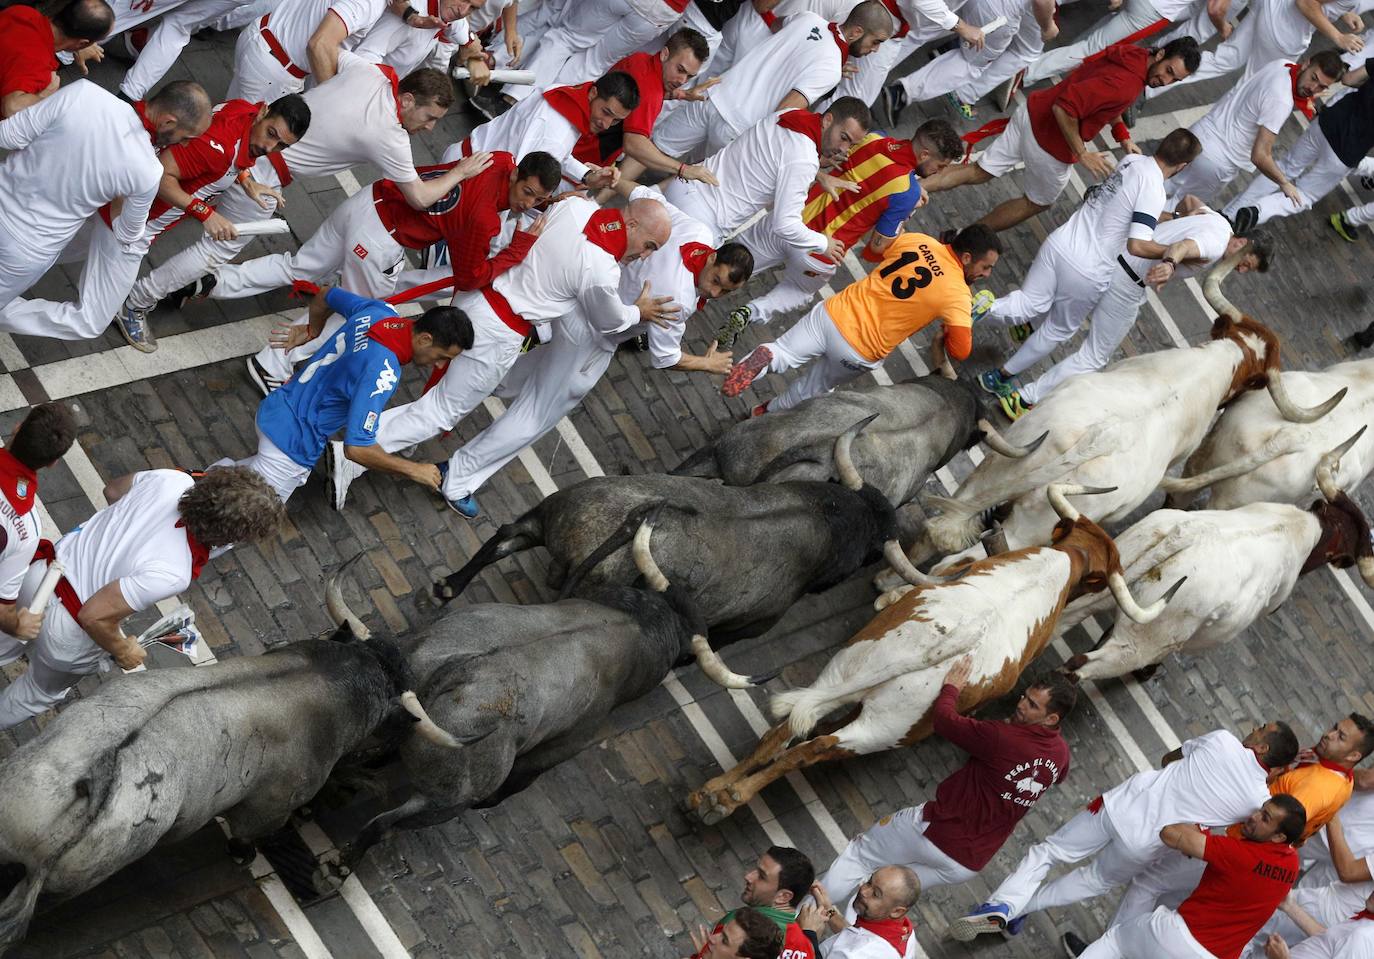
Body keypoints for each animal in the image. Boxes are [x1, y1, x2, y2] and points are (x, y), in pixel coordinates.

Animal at [681, 486, 1176, 824]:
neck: (1061, 563)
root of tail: (932, 646)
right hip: (887, 730)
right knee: (811, 748)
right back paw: (729, 800)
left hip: (847, 670)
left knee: (787, 731)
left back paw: (713, 792)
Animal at [1055, 436, 1368, 684]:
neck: (1298, 527)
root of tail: (1184, 536)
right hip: (1138, 645)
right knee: (1080, 666)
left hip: (1105, 584)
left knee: (1065, 620)